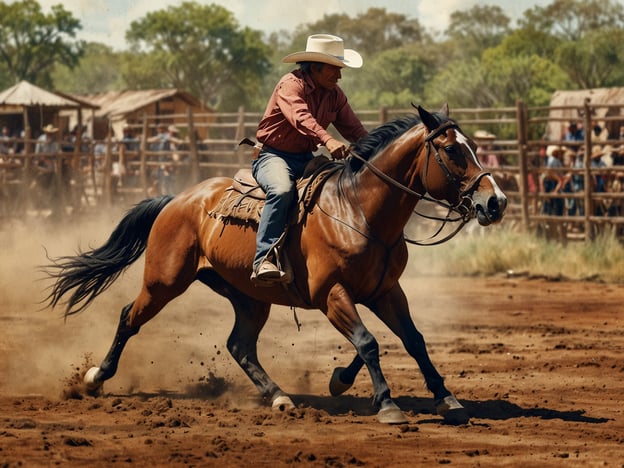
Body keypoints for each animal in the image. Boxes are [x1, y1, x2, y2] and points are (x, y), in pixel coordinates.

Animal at [47, 105, 508, 424]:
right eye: (452, 149)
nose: (496, 202)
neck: (358, 210)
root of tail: (178, 199)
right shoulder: (332, 295)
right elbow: (368, 342)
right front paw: (387, 404)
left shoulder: (384, 291)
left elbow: (411, 340)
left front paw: (443, 398)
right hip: (164, 281)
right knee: (130, 317)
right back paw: (95, 377)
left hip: (250, 296)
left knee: (239, 345)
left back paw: (280, 396)